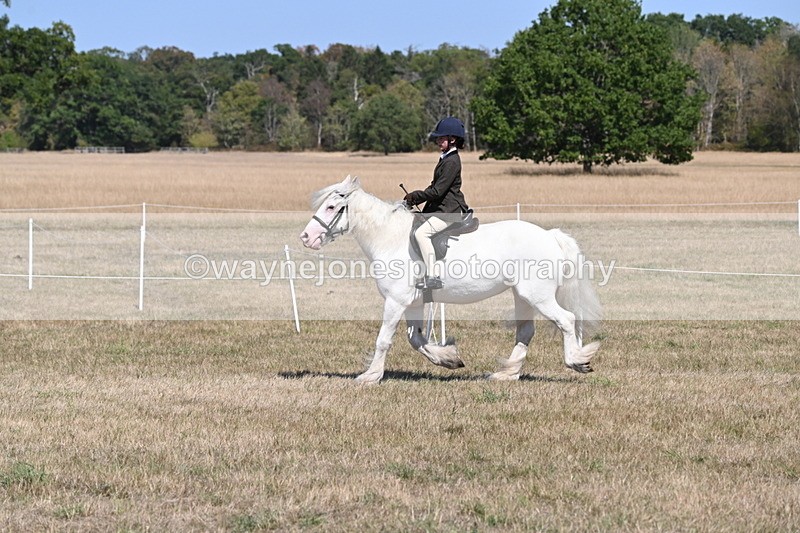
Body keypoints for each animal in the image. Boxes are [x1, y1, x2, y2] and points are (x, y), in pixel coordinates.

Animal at [299, 175, 601, 384]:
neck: (390, 238)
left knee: (566, 320)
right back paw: (506, 374)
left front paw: (370, 376)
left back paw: (577, 360)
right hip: (523, 296)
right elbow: (416, 339)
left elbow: (384, 339)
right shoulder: (412, 303)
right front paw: (449, 359)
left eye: (331, 207)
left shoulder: (395, 301)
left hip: (538, 296)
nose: (306, 237)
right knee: (525, 331)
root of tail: (550, 235)